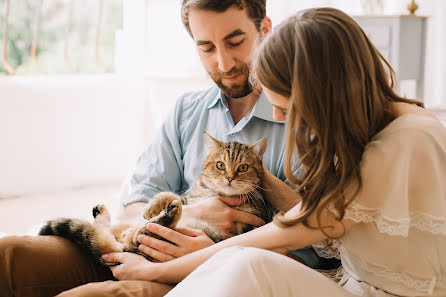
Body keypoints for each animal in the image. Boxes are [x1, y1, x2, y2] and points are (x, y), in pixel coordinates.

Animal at [39, 132, 268, 264]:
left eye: (243, 168)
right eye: (220, 165)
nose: (229, 178)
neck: (216, 193)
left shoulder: (251, 224)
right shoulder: (190, 198)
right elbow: (170, 194)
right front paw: (152, 207)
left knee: (140, 236)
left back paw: (165, 217)